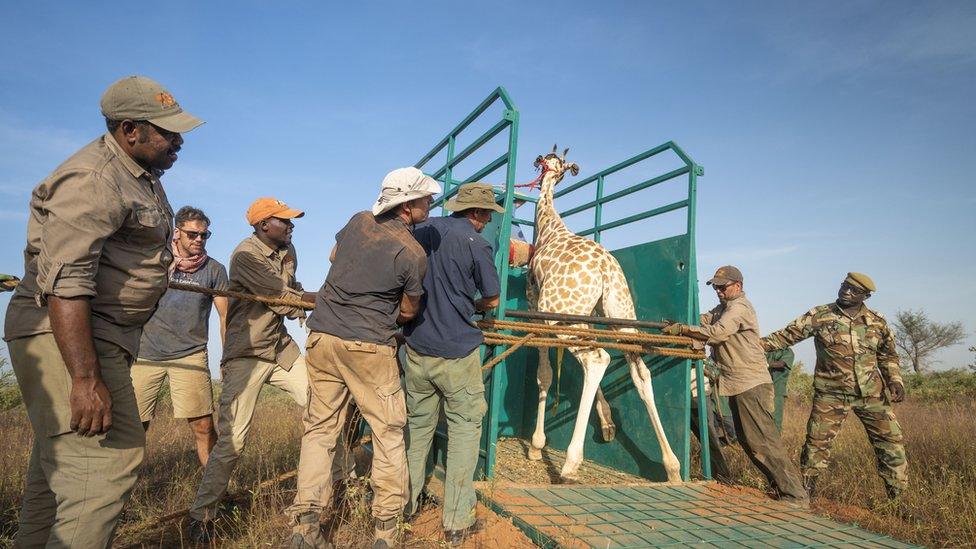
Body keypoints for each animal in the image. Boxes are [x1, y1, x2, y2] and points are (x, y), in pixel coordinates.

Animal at [528, 143, 680, 482]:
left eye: (546, 161)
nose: (539, 164)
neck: (547, 226)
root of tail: (605, 269)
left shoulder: (535, 307)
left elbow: (544, 375)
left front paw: (536, 445)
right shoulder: (592, 316)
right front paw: (608, 423)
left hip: (561, 314)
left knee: (598, 359)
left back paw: (571, 463)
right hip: (620, 315)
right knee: (639, 372)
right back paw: (672, 466)